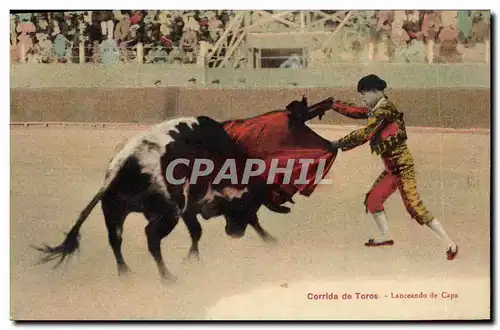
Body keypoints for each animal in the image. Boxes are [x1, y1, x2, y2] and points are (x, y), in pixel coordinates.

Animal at [34, 115, 290, 282]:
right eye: (248, 203)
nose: (235, 233)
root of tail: (124, 165)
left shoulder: (191, 208)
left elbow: (197, 231)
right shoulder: (191, 205)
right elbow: (200, 230)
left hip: (114, 210)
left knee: (115, 239)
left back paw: (125, 273)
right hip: (168, 214)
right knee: (151, 237)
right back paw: (167, 277)